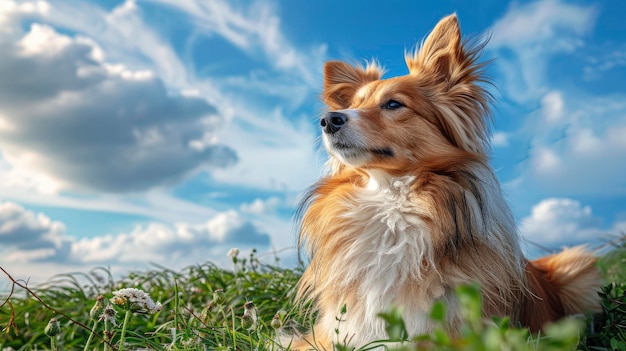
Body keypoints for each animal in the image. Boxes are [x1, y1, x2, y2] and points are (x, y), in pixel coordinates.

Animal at [282, 13, 600, 350]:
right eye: (350, 105)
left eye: (393, 104)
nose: (328, 120)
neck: (390, 203)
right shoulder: (328, 333)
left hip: (579, 265)